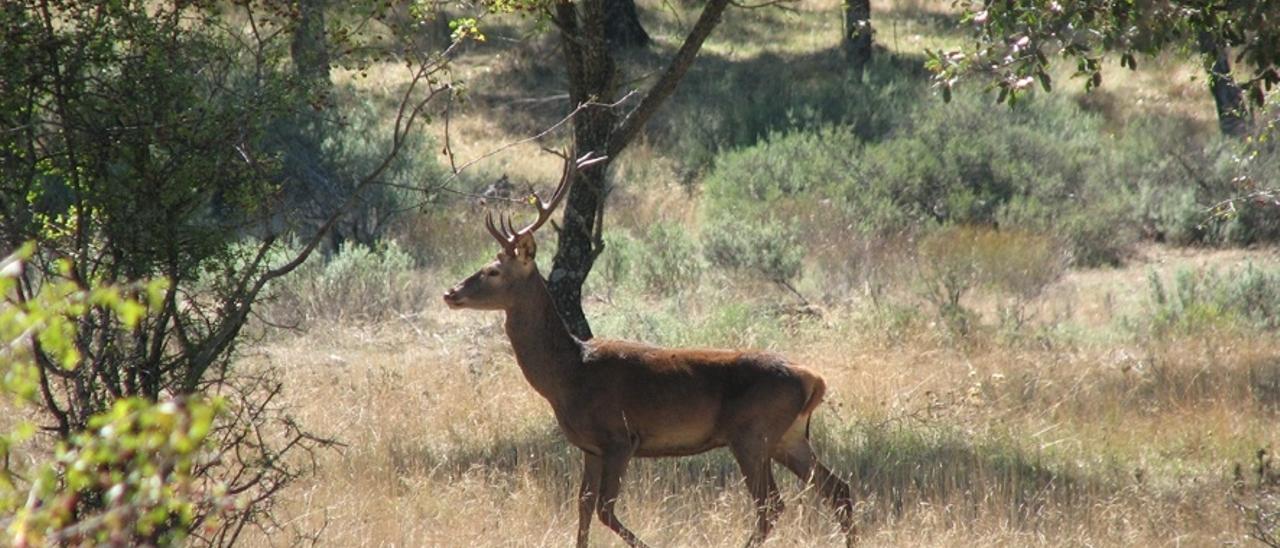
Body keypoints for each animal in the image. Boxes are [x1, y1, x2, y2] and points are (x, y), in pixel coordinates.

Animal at [442, 154, 860, 548]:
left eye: (493, 271)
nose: (450, 292)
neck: (567, 375)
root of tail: (814, 380)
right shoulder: (590, 447)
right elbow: (582, 508)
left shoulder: (619, 437)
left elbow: (605, 510)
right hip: (789, 435)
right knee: (838, 490)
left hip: (752, 432)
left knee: (772, 504)